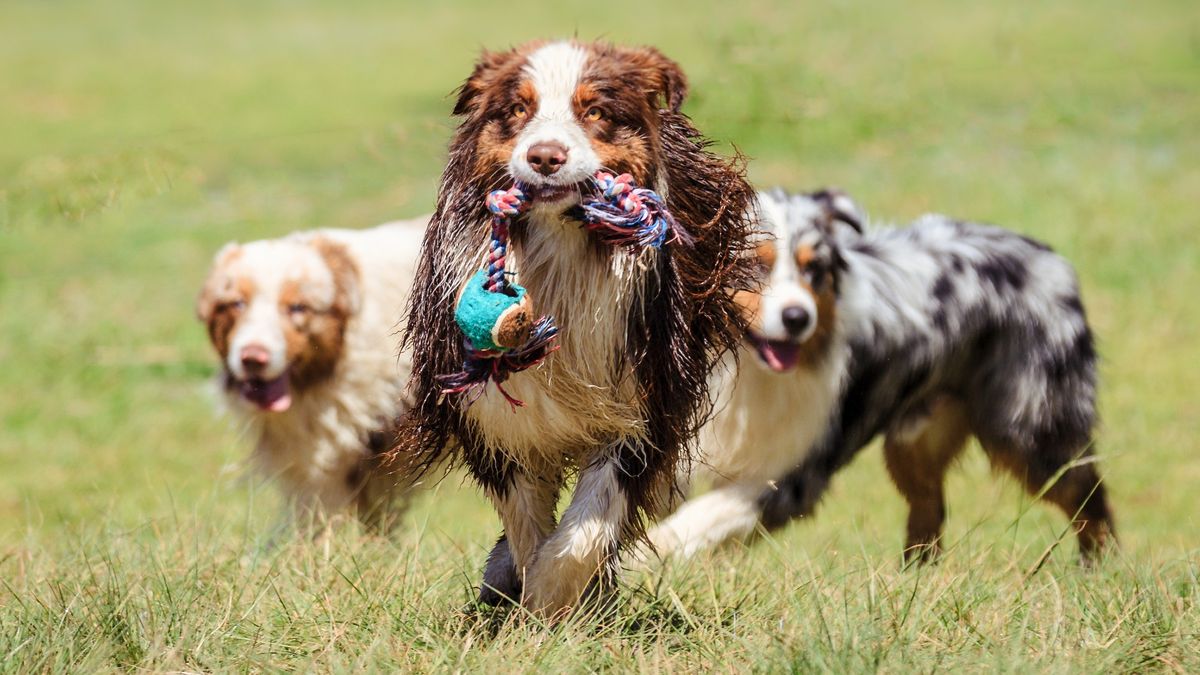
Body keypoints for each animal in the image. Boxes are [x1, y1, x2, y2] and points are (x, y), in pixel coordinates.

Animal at [398, 38, 753, 614]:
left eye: (597, 113)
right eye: (517, 109)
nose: (545, 157)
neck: (561, 254)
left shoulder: (643, 401)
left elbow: (591, 521)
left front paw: (553, 598)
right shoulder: (494, 411)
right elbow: (524, 516)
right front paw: (529, 592)